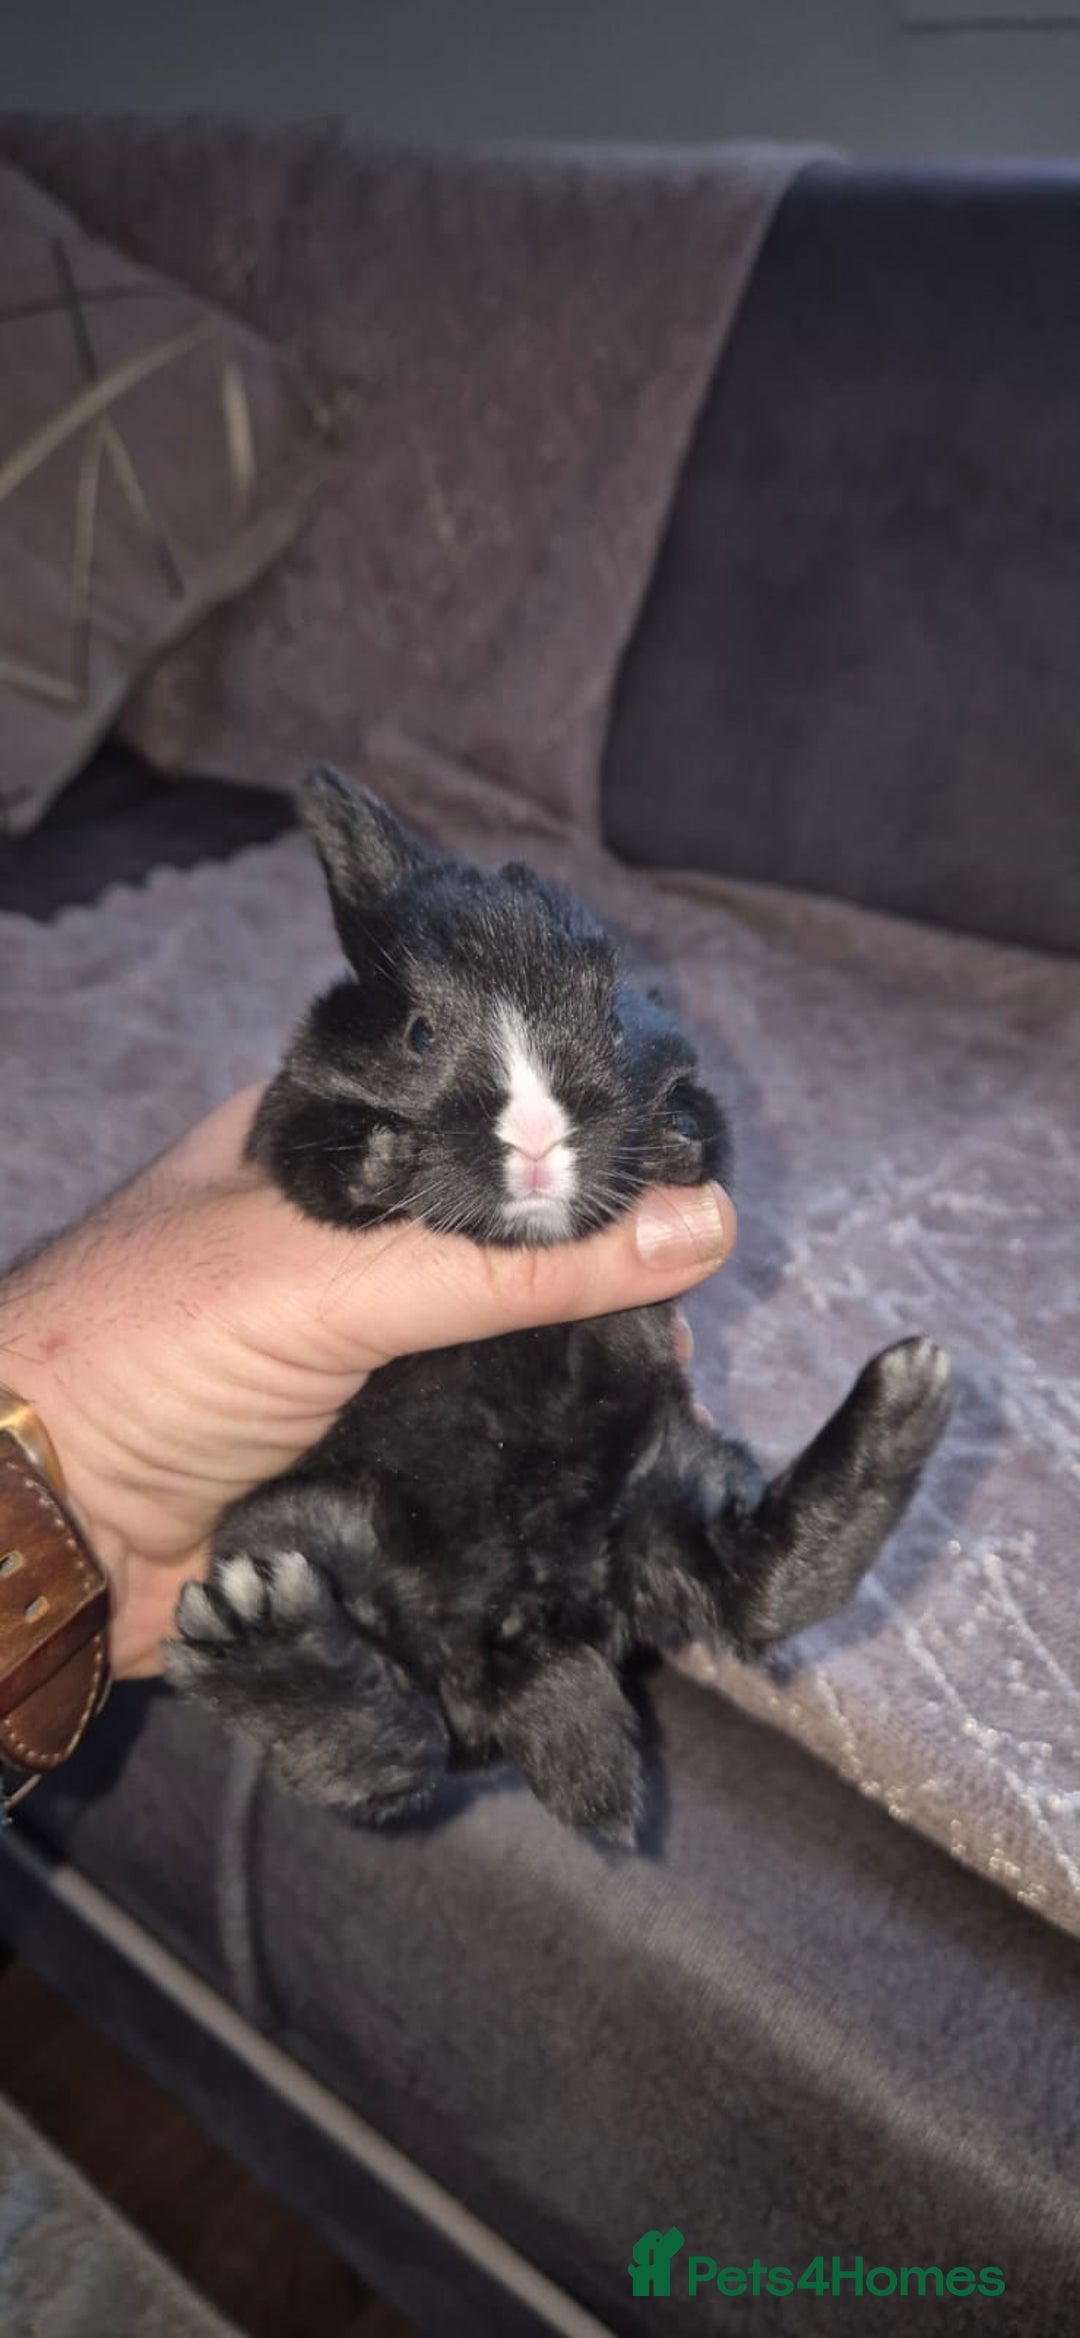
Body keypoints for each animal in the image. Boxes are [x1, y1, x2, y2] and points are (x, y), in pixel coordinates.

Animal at [163, 769, 952, 1843]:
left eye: (613, 1013)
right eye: (418, 1031)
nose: (538, 1140)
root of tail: (530, 1634)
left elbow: (714, 1128)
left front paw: (671, 1139)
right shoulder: (288, 1115)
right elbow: (315, 1155)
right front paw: (382, 1162)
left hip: (667, 1477)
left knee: (751, 1588)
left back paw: (909, 1395)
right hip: (304, 1524)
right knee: (394, 1758)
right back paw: (259, 1638)